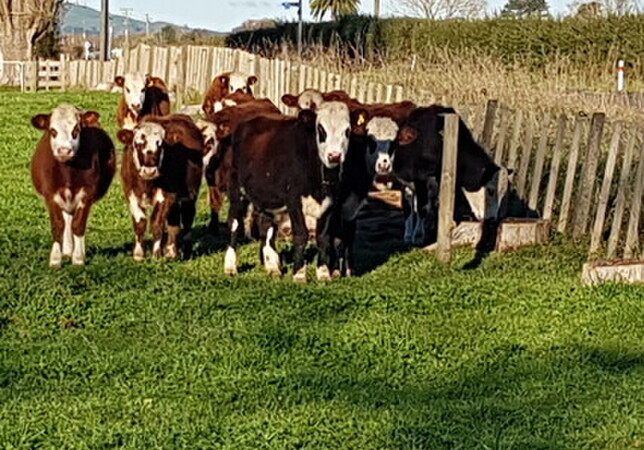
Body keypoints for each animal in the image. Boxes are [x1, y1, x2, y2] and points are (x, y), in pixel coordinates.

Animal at [30, 104, 116, 267]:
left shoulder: (87, 195)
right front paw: (55, 259)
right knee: (67, 220)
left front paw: (78, 259)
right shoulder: (51, 195)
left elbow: (78, 225)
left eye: (76, 130)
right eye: (53, 130)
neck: (68, 172)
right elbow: (58, 225)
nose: (64, 150)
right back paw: (67, 250)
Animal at [117, 114, 203, 261]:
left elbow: (156, 222)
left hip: (191, 194)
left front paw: (156, 254)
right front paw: (139, 254)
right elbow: (140, 222)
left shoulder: (167, 195)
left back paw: (186, 250)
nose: (149, 170)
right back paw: (171, 251)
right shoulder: (130, 194)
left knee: (187, 219)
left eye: (161, 144)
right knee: (173, 222)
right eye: (137, 144)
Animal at [224, 101, 351, 283]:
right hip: (237, 193)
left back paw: (272, 267)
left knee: (266, 228)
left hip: (268, 198)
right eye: (320, 129)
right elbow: (301, 235)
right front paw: (299, 274)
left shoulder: (330, 203)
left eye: (347, 130)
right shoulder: (294, 202)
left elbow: (324, 237)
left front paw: (323, 273)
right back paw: (230, 266)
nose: (334, 156)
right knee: (234, 225)